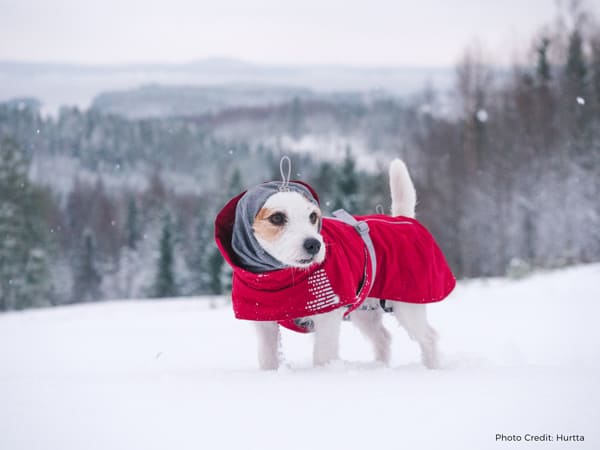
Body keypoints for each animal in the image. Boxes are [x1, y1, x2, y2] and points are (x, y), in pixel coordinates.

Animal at [216, 160, 454, 370]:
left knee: (429, 337)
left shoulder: (327, 315)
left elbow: (323, 355)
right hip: (364, 311)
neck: (276, 277)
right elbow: (267, 358)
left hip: (408, 303)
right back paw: (379, 368)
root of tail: (403, 219)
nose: (314, 244)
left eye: (313, 216)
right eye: (276, 218)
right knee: (383, 338)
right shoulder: (263, 322)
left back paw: (431, 369)